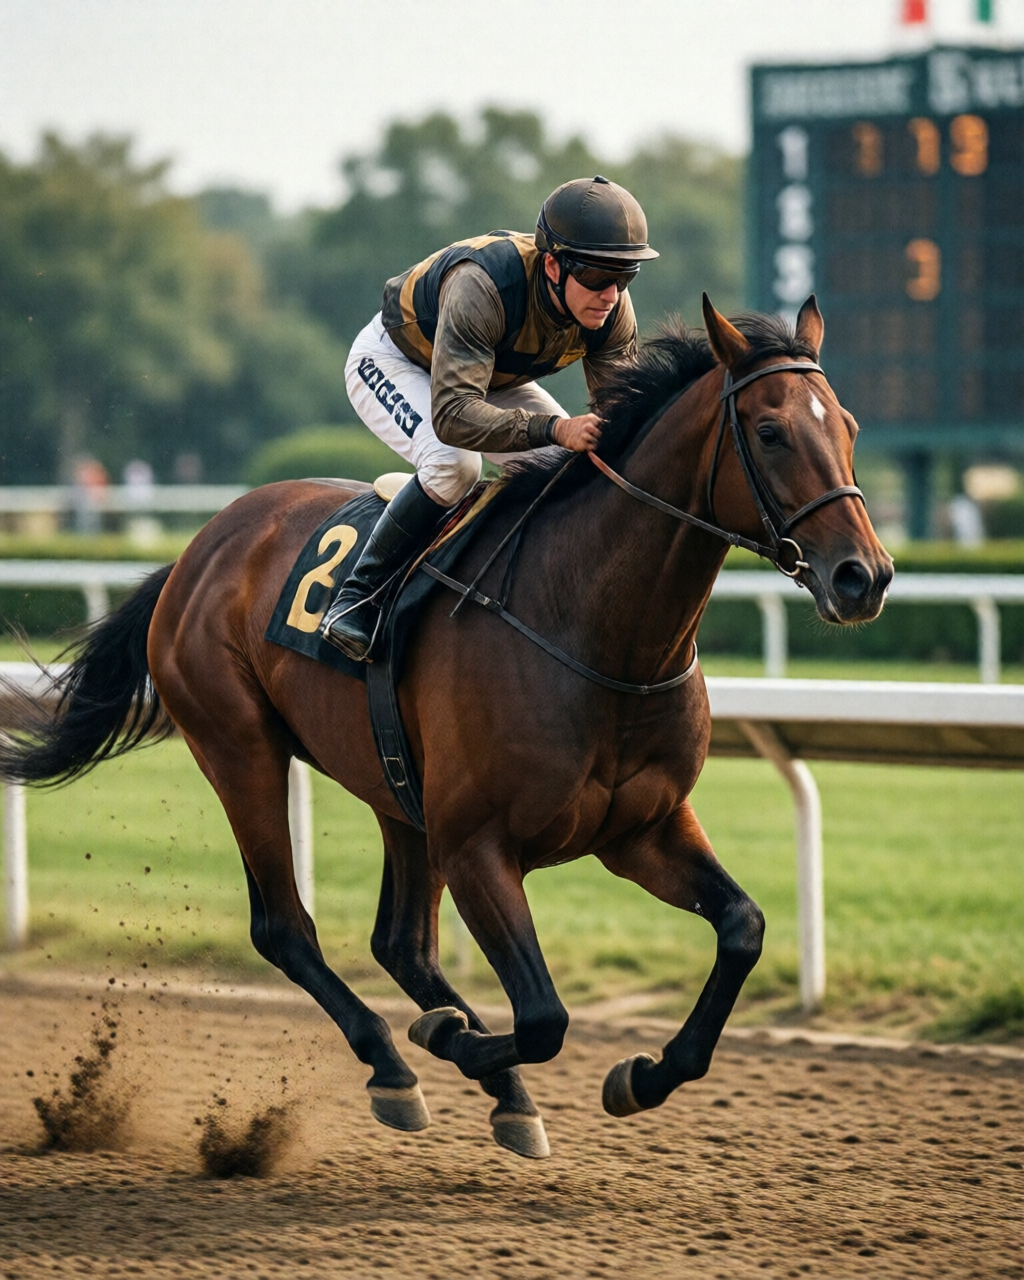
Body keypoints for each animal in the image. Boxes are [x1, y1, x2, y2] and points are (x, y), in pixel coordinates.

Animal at [1, 296, 892, 1159]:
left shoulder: (642, 829)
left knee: (400, 942)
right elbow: (543, 1016)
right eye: (772, 433)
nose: (865, 577)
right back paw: (396, 1064)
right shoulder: (477, 846)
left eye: (848, 426)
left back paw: (498, 1090)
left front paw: (640, 1076)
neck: (593, 629)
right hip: (239, 748)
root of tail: (198, 549)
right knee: (285, 927)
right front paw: (450, 1039)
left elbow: (741, 928)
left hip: (398, 790)